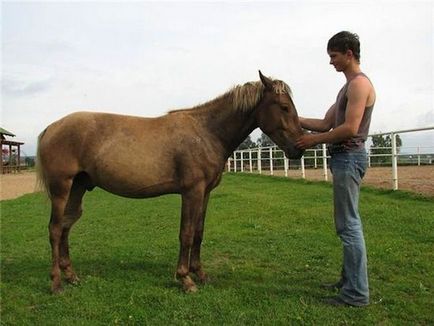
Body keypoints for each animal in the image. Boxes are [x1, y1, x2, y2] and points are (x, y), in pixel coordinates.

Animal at [36, 70, 302, 292]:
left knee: (66, 226)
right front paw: (185, 279)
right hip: (61, 188)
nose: (298, 149)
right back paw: (56, 283)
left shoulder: (205, 193)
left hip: (77, 187)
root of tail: (51, 127)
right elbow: (186, 233)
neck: (206, 132)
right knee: (55, 229)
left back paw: (71, 276)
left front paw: (200, 274)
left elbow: (199, 232)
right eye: (284, 106)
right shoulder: (191, 191)